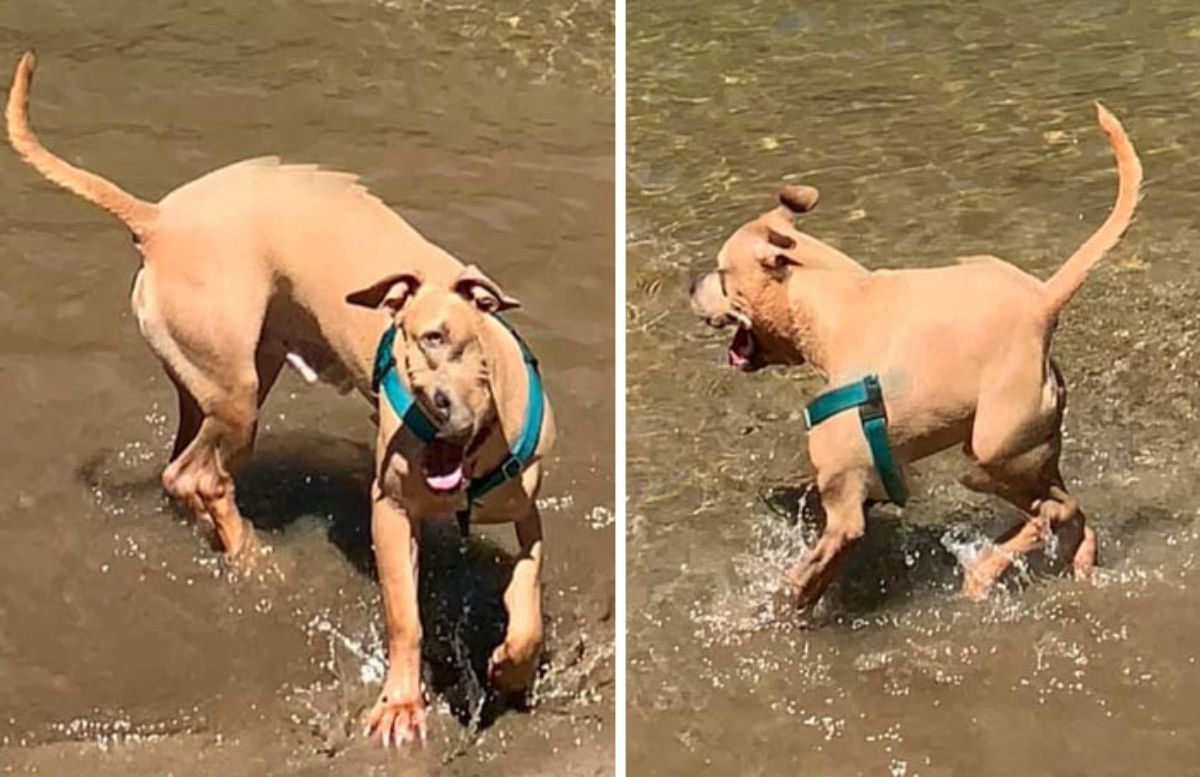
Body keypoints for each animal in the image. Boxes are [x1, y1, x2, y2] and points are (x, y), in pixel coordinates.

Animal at [5, 51, 556, 743]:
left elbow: (527, 600)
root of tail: (157, 220)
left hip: (221, 381)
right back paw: (256, 562)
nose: (428, 404)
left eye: (444, 337)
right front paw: (401, 703)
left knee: (183, 470)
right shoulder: (388, 511)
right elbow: (404, 616)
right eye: (405, 343)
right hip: (236, 388)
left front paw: (511, 667)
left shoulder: (527, 512)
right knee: (198, 477)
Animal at [691, 103, 1137, 609]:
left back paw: (983, 571)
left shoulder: (845, 514)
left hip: (990, 453)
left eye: (721, 273)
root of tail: (1043, 300)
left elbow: (806, 578)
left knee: (1055, 510)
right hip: (1030, 455)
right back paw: (1060, 563)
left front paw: (783, 607)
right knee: (1070, 513)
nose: (689, 285)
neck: (837, 306)